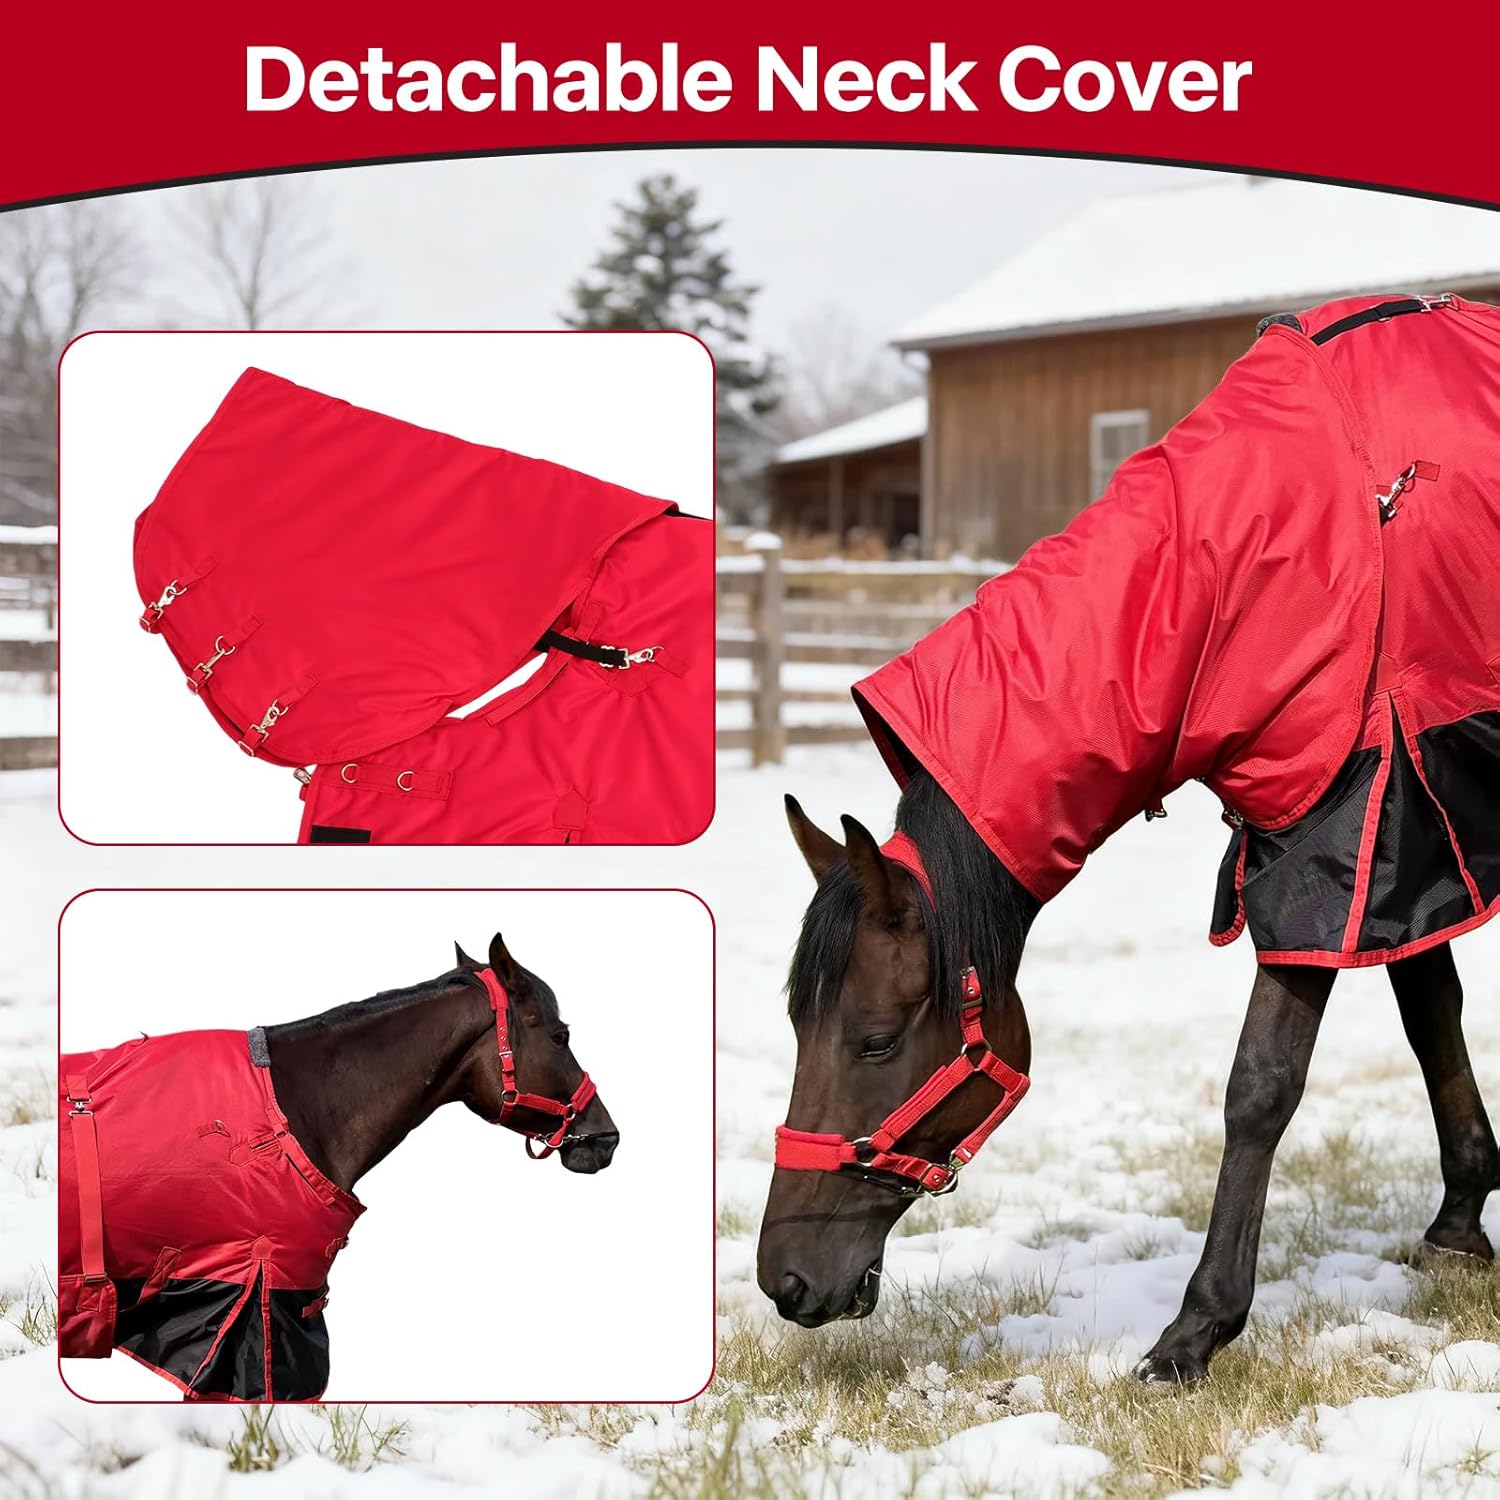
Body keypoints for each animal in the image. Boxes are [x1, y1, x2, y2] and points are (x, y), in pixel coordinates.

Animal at [757, 292, 1500, 1382]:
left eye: (877, 1040)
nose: (786, 1279)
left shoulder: (1338, 832)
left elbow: (1260, 1086)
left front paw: (1196, 1329)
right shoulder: (1396, 839)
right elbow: (1431, 1014)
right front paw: (1459, 1221)